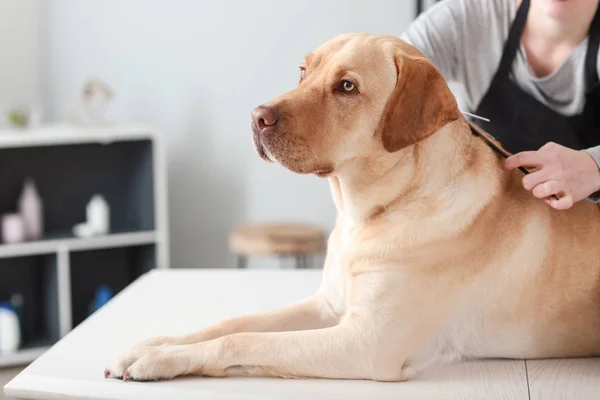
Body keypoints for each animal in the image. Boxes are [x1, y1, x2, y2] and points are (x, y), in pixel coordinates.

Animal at [105, 32, 600, 382]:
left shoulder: (367, 343)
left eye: (347, 86)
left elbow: (245, 341)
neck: (369, 214)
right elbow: (234, 322)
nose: (256, 117)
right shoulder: (328, 305)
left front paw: (162, 360)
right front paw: (153, 345)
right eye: (303, 71)